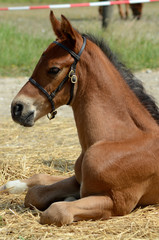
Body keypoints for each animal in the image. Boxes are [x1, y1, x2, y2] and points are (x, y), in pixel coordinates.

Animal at [0, 11, 158, 226]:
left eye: (54, 69)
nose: (17, 108)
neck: (117, 140)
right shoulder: (78, 181)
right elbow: (35, 194)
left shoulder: (117, 202)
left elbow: (56, 211)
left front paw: (66, 201)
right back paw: (12, 185)